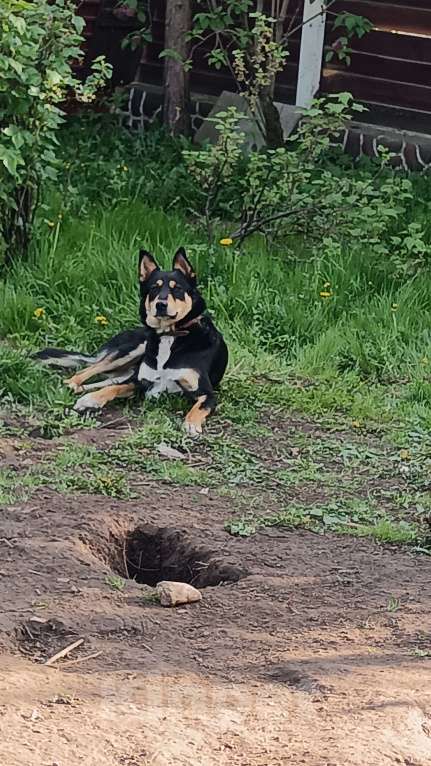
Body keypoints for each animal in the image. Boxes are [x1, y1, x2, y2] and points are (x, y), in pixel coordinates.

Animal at [34, 250, 230, 436]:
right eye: (154, 288)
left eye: (178, 289)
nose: (161, 304)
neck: (170, 335)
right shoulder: (139, 381)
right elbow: (114, 389)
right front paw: (91, 399)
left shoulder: (206, 393)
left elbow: (199, 407)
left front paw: (191, 424)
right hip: (130, 351)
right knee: (89, 371)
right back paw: (73, 385)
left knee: (107, 380)